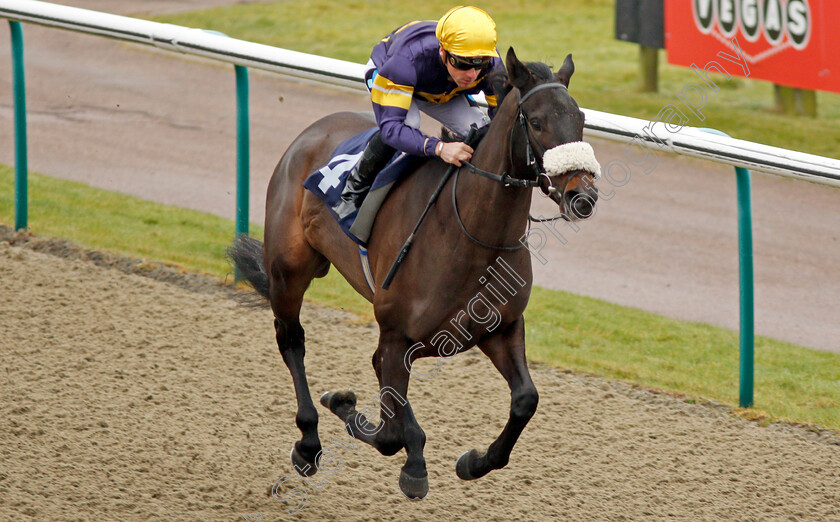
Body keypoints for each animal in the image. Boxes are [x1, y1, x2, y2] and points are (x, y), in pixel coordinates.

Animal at [230, 46, 596, 498]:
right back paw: (308, 442)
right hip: (288, 270)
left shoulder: (499, 327)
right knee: (291, 341)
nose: (583, 194)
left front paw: (474, 461)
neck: (471, 233)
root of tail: (313, 130)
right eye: (539, 121)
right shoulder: (396, 333)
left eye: (580, 119)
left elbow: (526, 399)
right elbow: (388, 433)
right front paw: (379, 434)